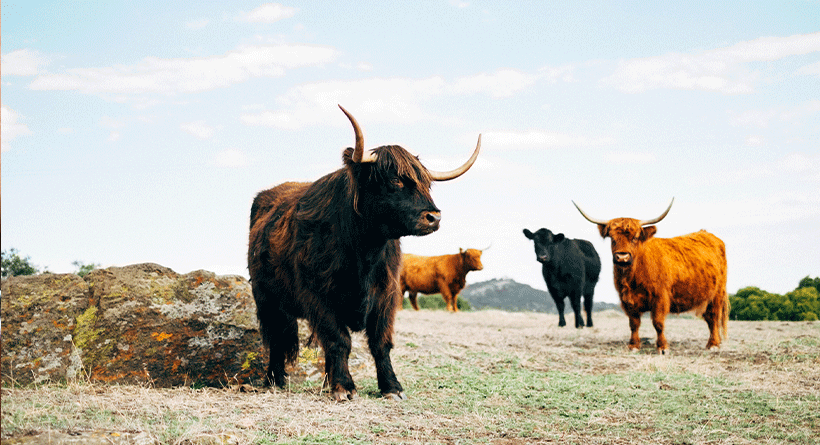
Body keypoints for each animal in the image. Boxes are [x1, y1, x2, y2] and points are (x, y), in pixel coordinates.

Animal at [572, 199, 732, 354]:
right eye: (612, 238)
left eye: (635, 238)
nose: (622, 257)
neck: (633, 277)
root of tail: (708, 234)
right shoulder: (626, 299)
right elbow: (634, 323)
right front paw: (633, 346)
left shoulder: (660, 297)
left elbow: (658, 323)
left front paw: (663, 347)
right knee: (709, 318)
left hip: (717, 294)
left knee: (714, 317)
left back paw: (713, 344)